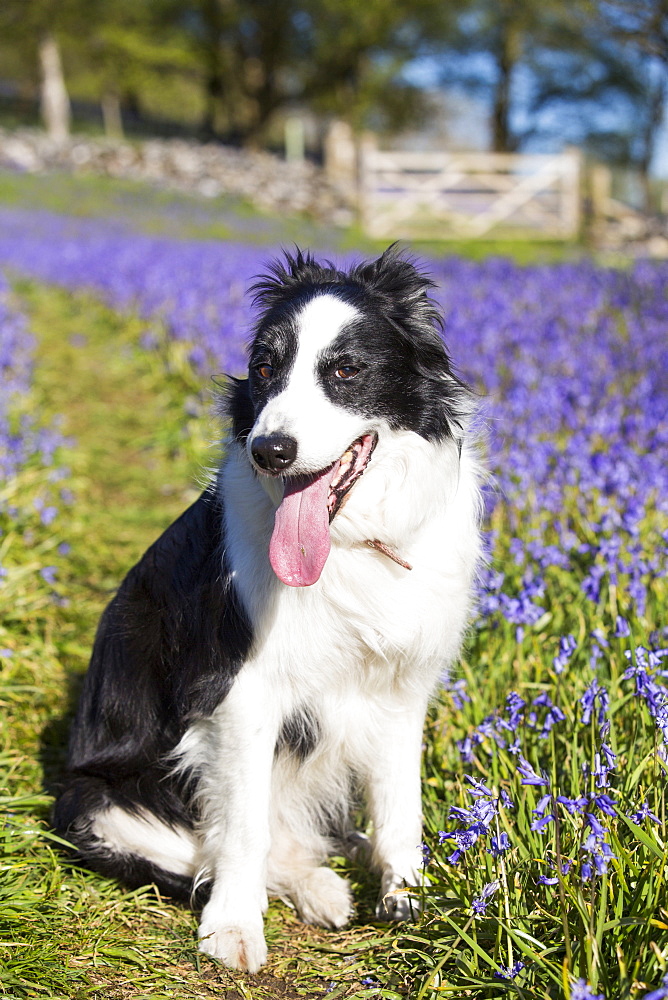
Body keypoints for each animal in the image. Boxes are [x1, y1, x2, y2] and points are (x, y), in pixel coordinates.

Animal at [52, 246, 480, 972]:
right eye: (263, 368)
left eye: (345, 369)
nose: (270, 450)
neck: (347, 545)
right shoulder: (239, 692)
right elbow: (243, 828)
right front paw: (232, 929)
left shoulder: (400, 686)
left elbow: (402, 803)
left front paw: (410, 899)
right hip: (96, 804)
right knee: (220, 846)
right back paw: (316, 889)